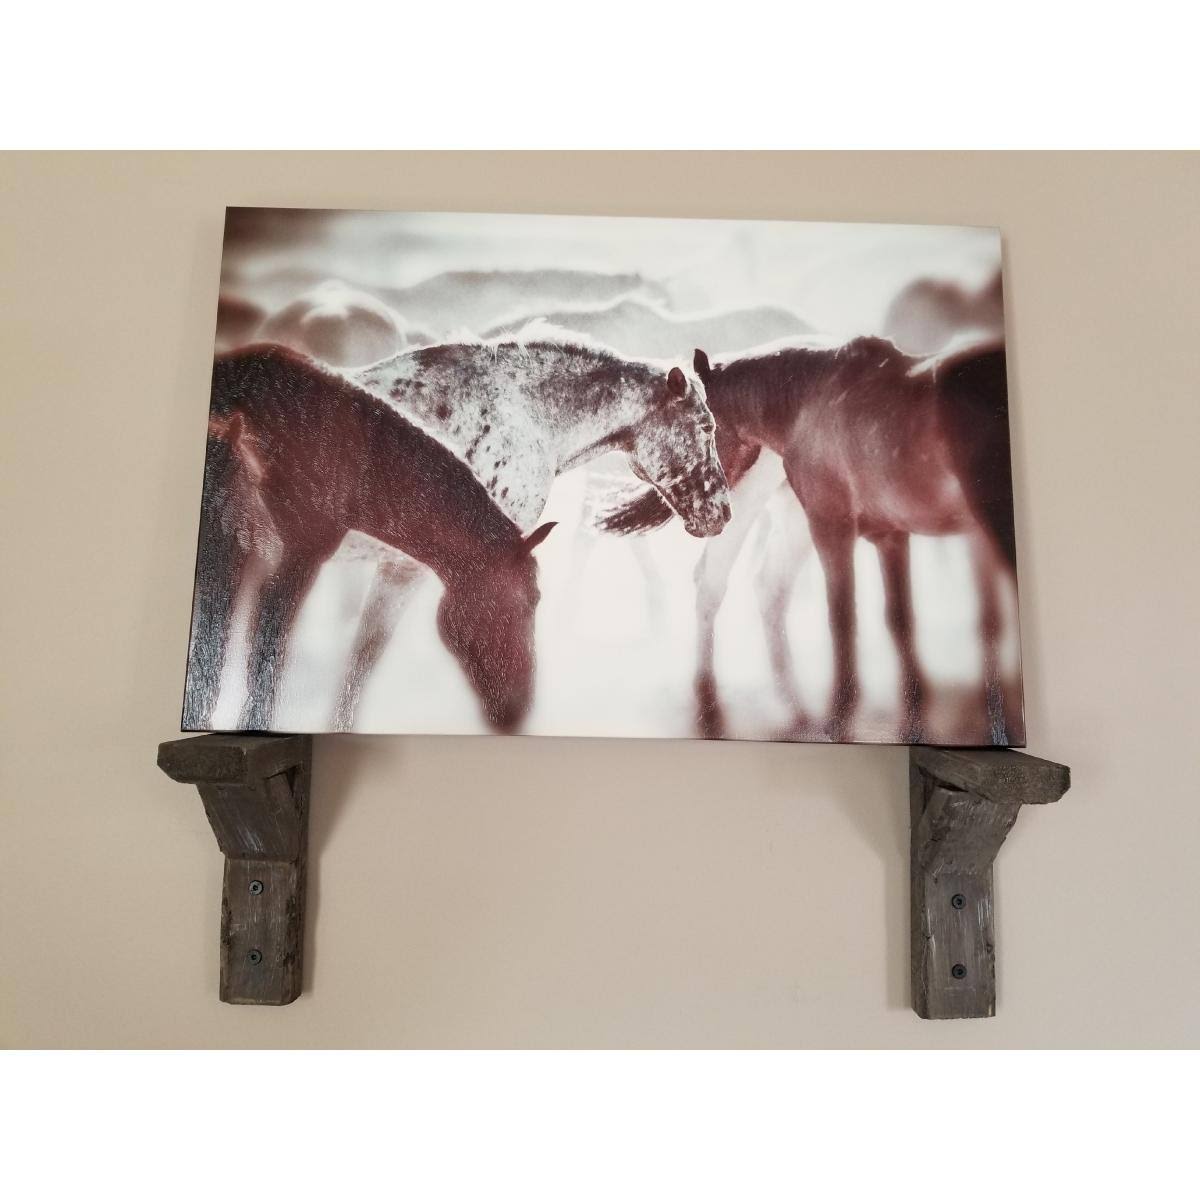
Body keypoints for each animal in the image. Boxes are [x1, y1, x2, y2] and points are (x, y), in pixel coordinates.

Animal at [182, 344, 556, 734]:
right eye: (532, 599)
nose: (521, 709)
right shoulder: (289, 562)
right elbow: (259, 668)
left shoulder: (235, 560)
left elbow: (212, 664)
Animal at [331, 327, 733, 730]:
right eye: (706, 427)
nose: (724, 511)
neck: (522, 417)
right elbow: (364, 659)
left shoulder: (405, 566)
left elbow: (361, 657)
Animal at [597, 336, 1022, 746]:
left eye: (707, 429)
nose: (707, 509)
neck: (807, 405)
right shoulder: (886, 536)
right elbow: (897, 619)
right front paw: (907, 724)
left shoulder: (832, 526)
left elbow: (846, 618)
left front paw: (842, 719)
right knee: (733, 586)